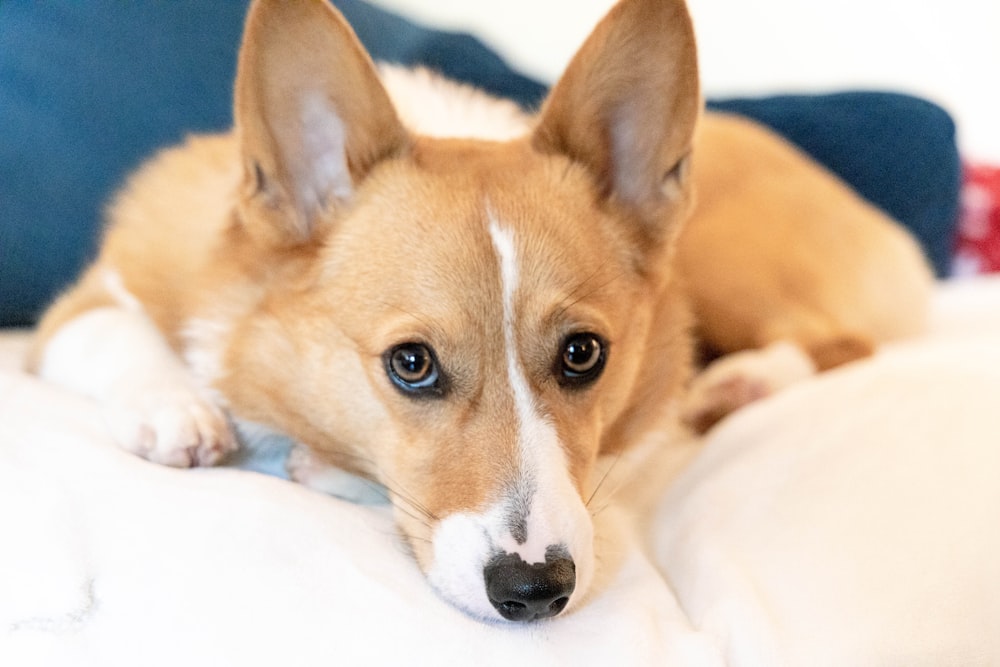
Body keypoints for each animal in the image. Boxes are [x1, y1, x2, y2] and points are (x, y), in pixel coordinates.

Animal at [31, 0, 932, 628]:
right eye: (411, 363)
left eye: (583, 353)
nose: (535, 591)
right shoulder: (77, 308)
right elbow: (109, 327)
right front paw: (177, 412)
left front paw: (315, 466)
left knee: (840, 339)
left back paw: (740, 384)